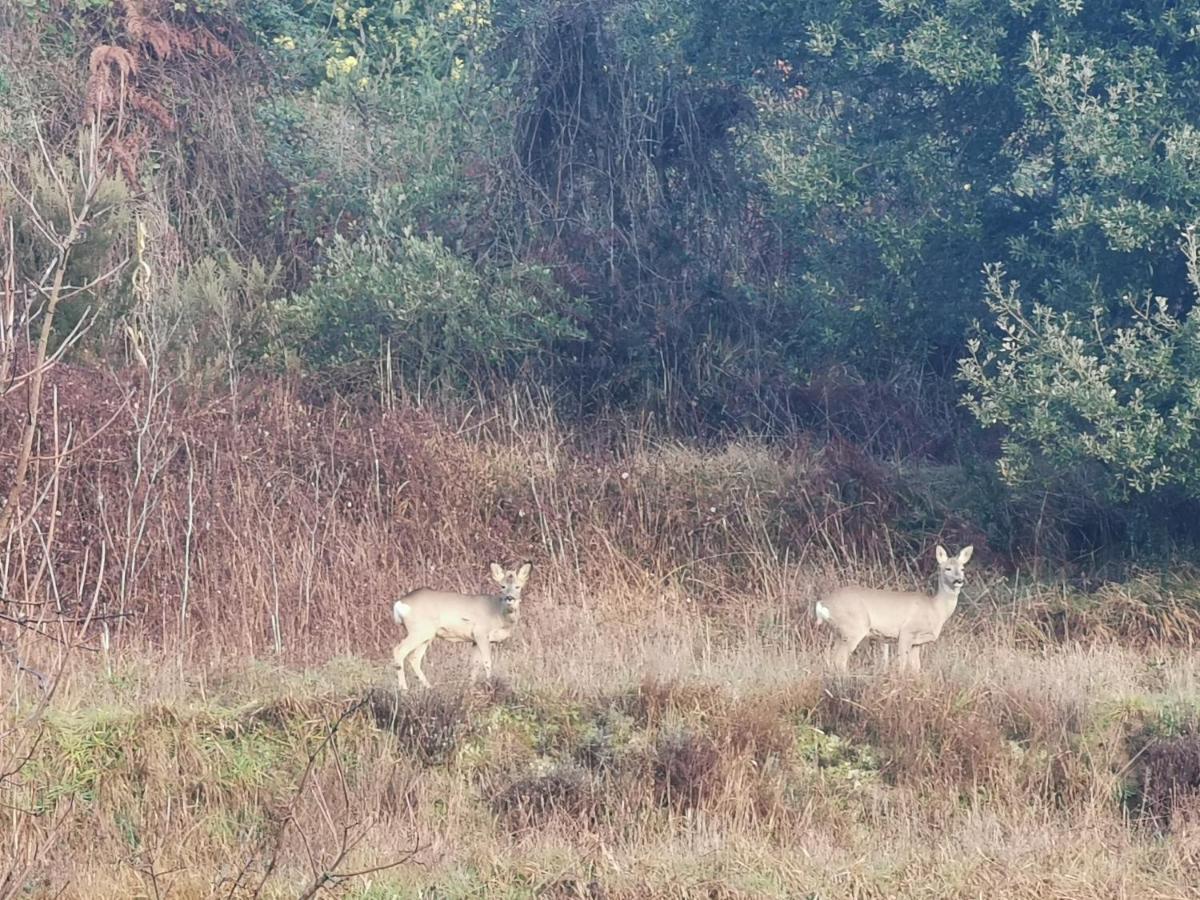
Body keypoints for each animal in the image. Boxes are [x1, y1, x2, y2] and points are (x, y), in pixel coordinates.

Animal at [391, 564, 532, 691]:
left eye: (518, 587)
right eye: (502, 586)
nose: (509, 598)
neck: (498, 613)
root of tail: (400, 603)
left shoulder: (477, 640)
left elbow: (474, 665)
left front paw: (471, 687)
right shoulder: (480, 632)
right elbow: (487, 662)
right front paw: (490, 684)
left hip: (427, 635)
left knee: (414, 658)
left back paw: (430, 688)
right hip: (418, 630)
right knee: (399, 650)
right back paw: (404, 690)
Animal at [816, 547, 974, 672]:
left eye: (962, 569)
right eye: (947, 568)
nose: (959, 580)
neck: (935, 608)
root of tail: (823, 603)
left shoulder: (917, 642)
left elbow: (916, 667)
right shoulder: (906, 631)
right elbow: (902, 664)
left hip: (840, 632)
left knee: (831, 658)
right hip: (854, 626)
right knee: (840, 661)